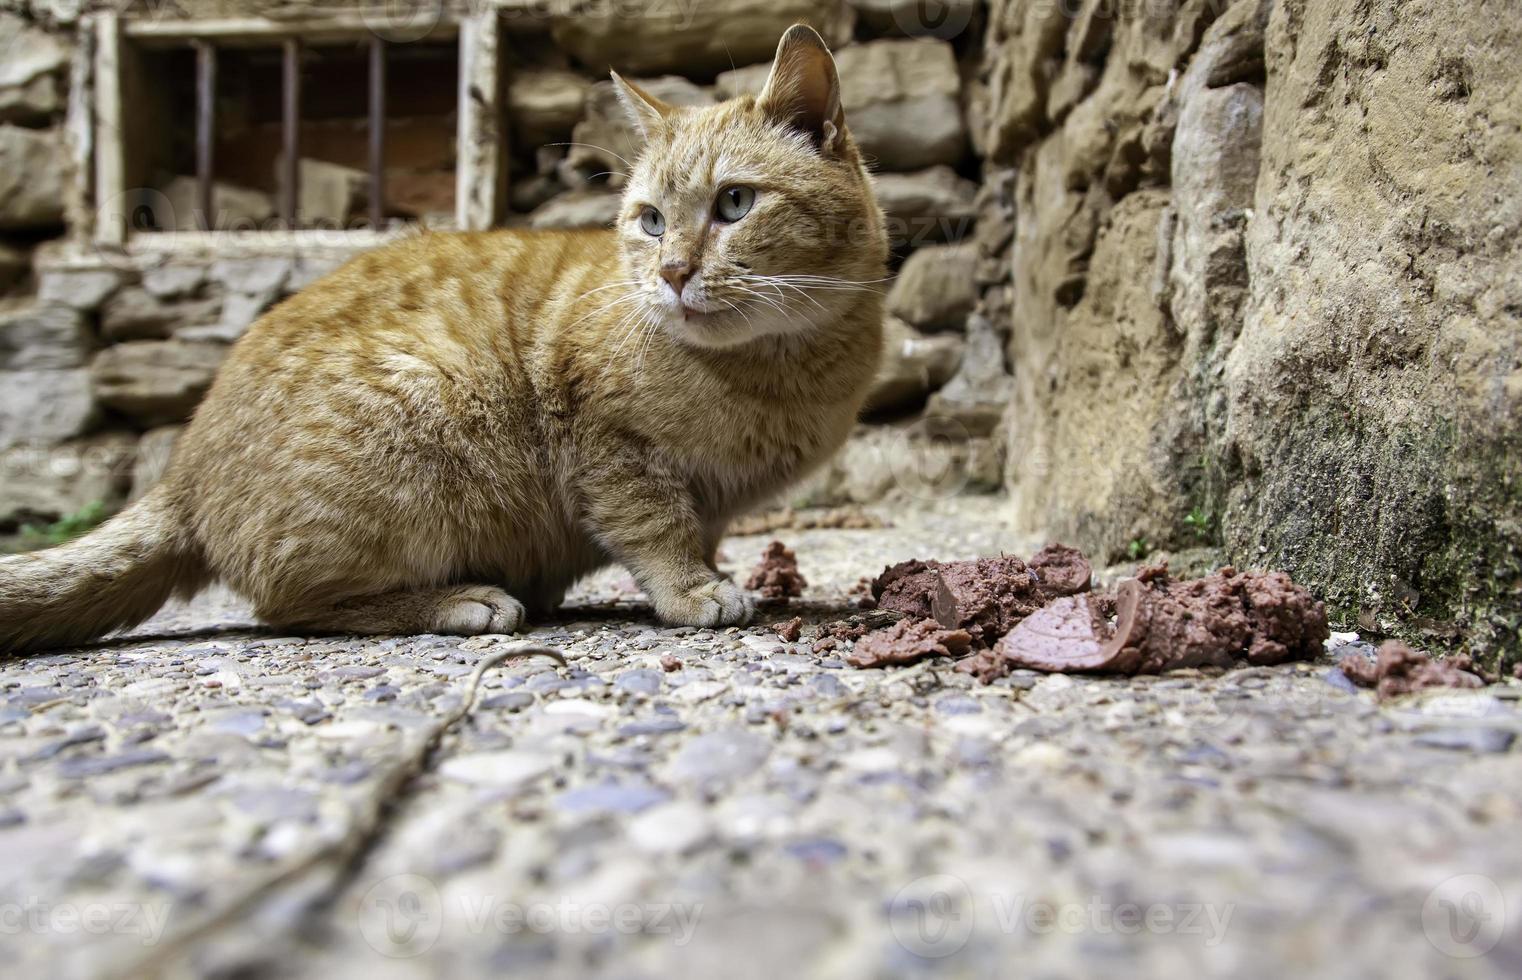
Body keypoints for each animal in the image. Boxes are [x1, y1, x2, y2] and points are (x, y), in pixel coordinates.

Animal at [0, 24, 888, 651]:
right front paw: (692, 589)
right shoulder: (609, 445)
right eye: (650, 221)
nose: (670, 271)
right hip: (419, 416)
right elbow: (656, 525)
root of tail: (182, 474)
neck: (779, 369)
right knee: (289, 608)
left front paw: (714, 571)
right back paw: (464, 600)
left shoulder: (711, 496)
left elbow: (699, 527)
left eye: (734, 203)